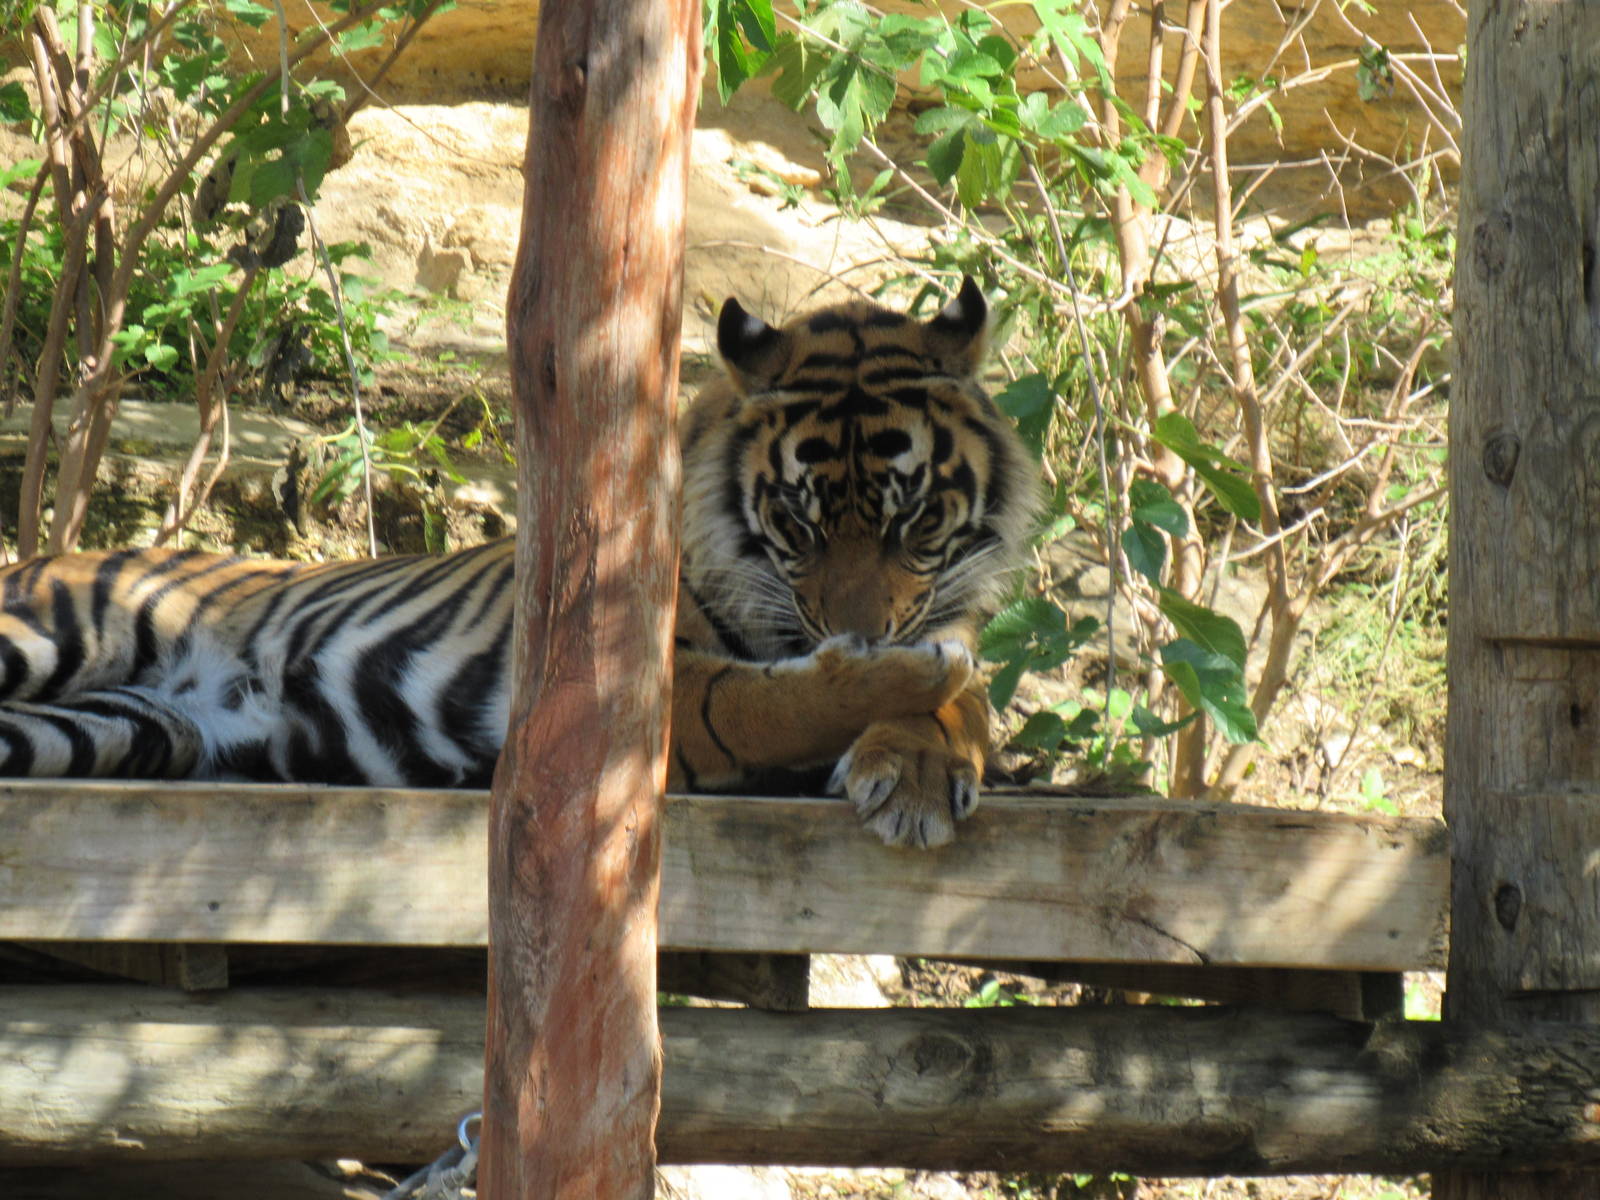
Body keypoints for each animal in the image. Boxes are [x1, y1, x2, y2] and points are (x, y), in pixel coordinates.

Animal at [0, 277, 1039, 848]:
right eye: (800, 524)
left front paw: (914, 775)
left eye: (914, 523)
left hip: (124, 727)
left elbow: (964, 705)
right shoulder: (643, 689)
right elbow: (775, 700)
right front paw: (894, 686)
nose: (862, 630)